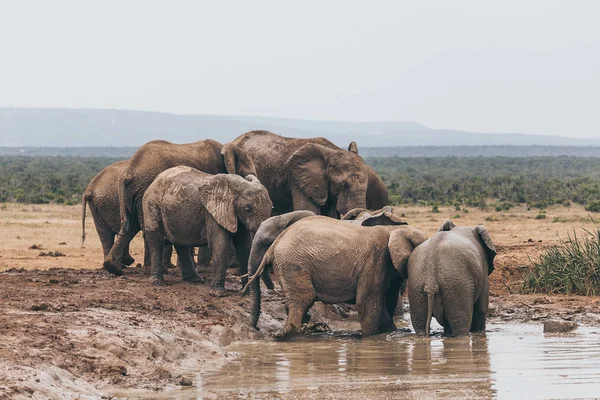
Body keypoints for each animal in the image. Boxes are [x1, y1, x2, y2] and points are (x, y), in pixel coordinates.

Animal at [102, 139, 255, 276]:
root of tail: (128, 172)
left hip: (130, 194)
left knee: (129, 225)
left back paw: (113, 267)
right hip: (144, 188)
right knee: (144, 227)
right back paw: (154, 270)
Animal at [142, 167, 274, 290]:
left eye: (272, 207)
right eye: (248, 209)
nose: (272, 287)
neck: (238, 186)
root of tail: (155, 180)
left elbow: (244, 247)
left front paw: (245, 292)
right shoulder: (214, 211)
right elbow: (221, 244)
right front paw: (218, 293)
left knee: (181, 244)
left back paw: (195, 280)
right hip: (152, 204)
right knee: (156, 241)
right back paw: (158, 283)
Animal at [244, 216, 426, 338]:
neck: (393, 229)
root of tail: (275, 245)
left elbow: (386, 300)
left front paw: (392, 332)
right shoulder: (375, 261)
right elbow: (367, 303)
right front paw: (369, 337)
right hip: (294, 264)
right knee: (302, 301)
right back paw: (292, 334)